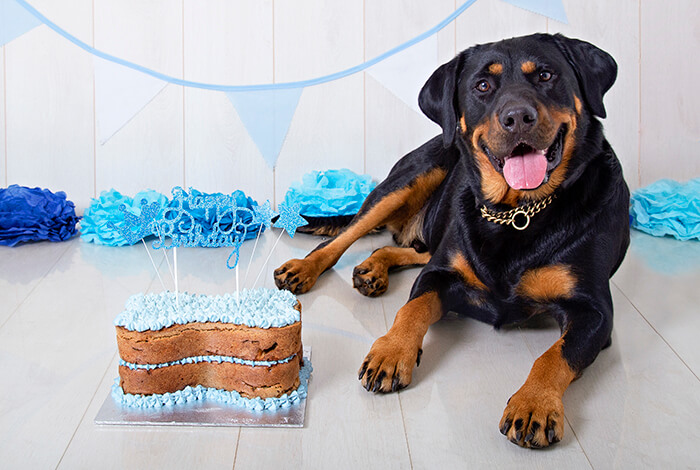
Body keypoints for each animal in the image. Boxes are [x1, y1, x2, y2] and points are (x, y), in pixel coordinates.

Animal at [272, 32, 628, 448]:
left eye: (545, 75)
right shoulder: (439, 274)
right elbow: (411, 308)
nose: (518, 117)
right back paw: (305, 268)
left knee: (402, 247)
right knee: (342, 239)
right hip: (411, 177)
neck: (517, 213)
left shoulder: (595, 312)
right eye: (483, 86)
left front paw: (534, 404)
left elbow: (556, 354)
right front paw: (391, 352)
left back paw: (373, 268)